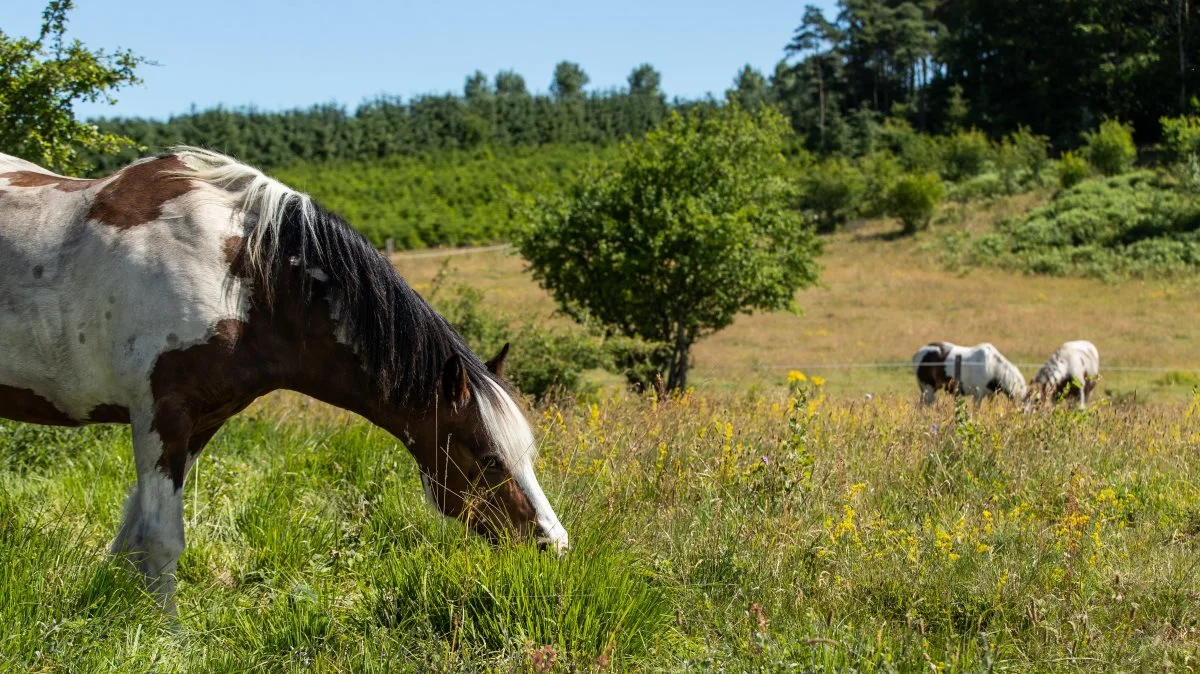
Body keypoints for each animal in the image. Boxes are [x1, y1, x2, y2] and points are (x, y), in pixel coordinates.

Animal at [0, 149, 566, 611]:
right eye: (488, 457)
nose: (554, 545)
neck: (241, 278)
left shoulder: (198, 425)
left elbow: (132, 533)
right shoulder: (161, 417)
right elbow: (161, 539)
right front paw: (166, 634)